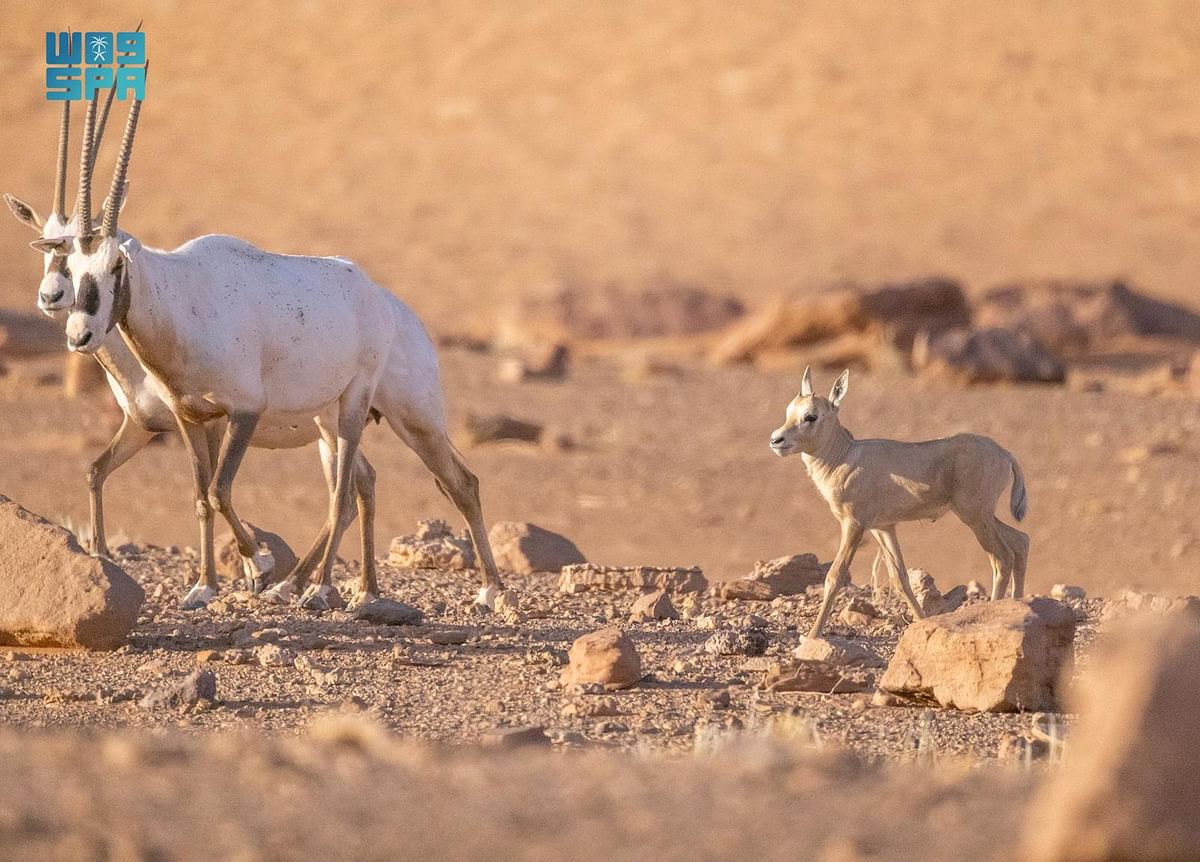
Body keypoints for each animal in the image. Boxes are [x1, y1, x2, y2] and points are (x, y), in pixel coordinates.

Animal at [772, 367, 1027, 638]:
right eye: (789, 410)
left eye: (810, 416)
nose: (776, 440)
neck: (847, 456)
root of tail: (1005, 454)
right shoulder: (883, 528)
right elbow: (900, 578)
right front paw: (922, 621)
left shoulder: (854, 525)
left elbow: (835, 575)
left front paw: (812, 635)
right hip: (983, 516)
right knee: (1020, 542)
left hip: (975, 518)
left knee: (1002, 558)